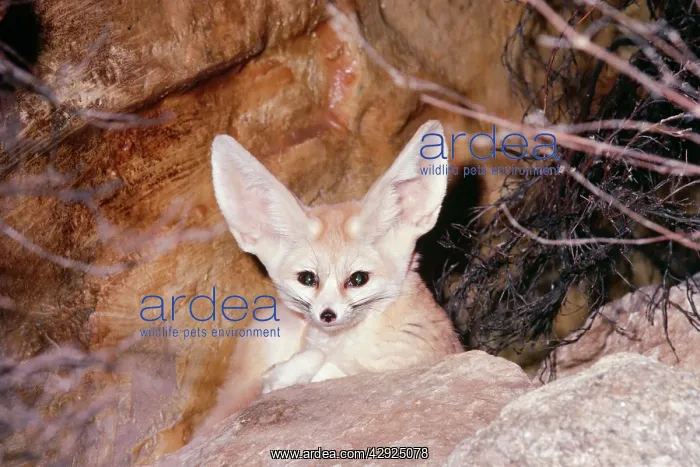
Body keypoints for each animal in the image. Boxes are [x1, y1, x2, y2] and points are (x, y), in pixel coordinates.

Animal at [194, 120, 462, 437]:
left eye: (358, 279)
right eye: (308, 279)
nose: (327, 315)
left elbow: (328, 366)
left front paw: (289, 374)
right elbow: (309, 362)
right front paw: (282, 375)